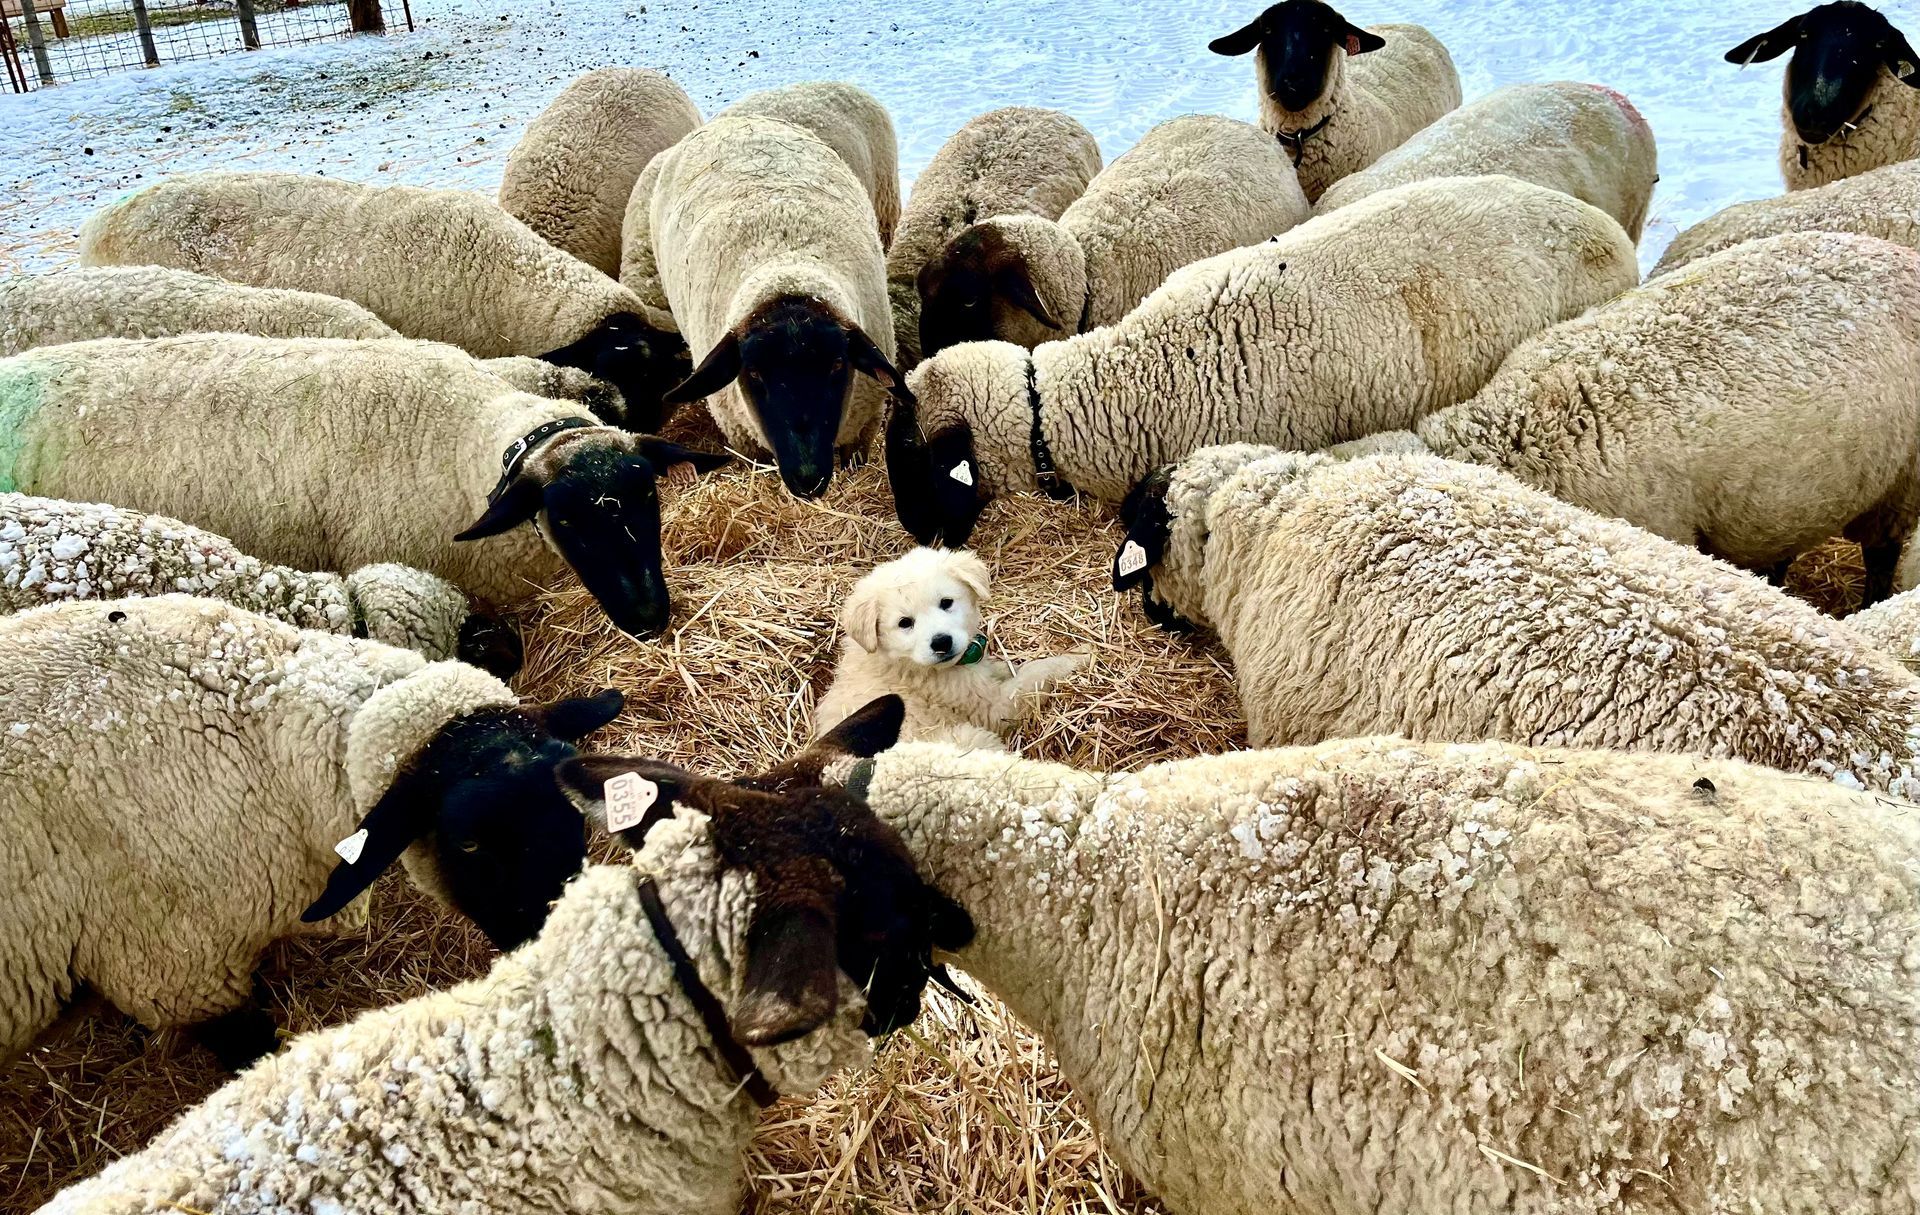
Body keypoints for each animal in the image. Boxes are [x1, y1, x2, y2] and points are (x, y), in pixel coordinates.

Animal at [648, 116, 903, 499]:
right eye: (753, 373)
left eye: (837, 364)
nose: (807, 478)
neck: (786, 266)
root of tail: (733, 119)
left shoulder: (861, 429)